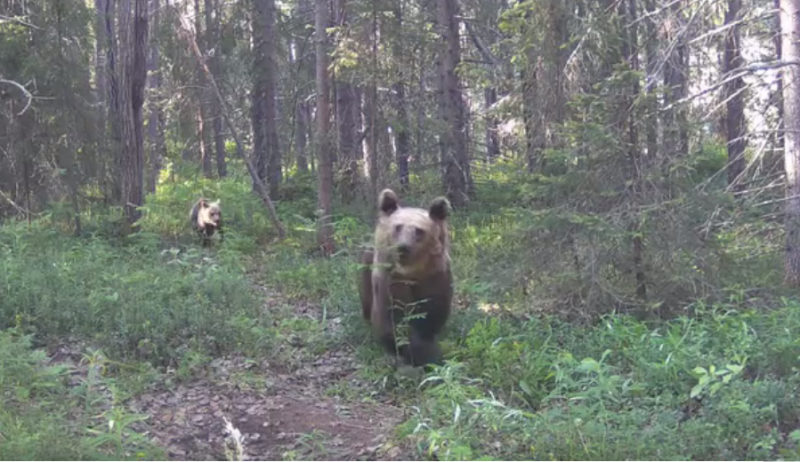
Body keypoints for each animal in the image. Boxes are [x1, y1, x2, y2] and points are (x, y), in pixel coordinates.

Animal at [360, 188, 454, 368]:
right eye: (398, 227)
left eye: (419, 230)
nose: (403, 247)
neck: (412, 272)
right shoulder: (390, 280)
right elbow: (392, 321)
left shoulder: (435, 278)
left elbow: (431, 315)